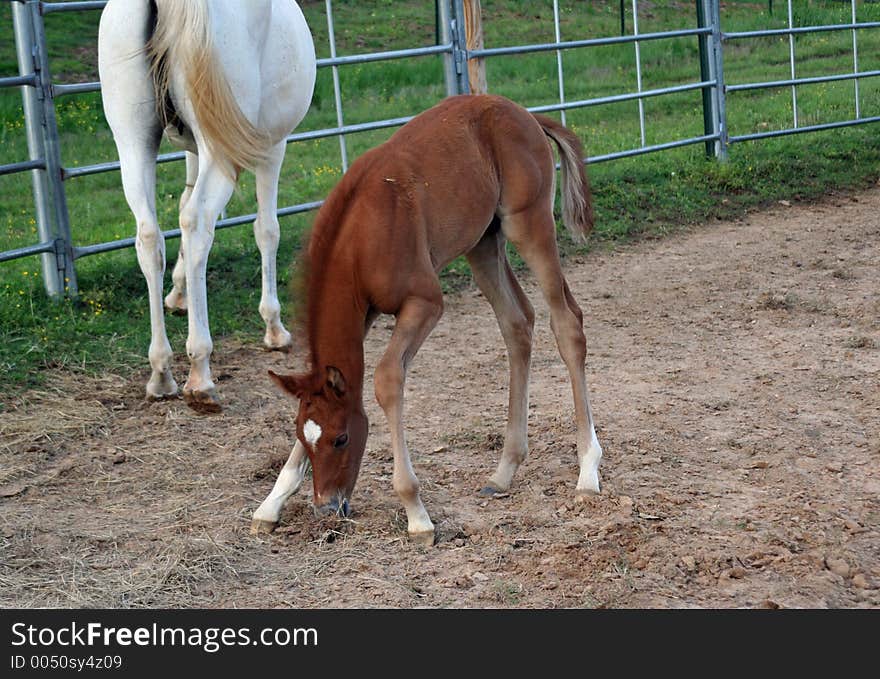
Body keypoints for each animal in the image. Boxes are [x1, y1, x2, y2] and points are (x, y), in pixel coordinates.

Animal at [99, 0, 316, 412]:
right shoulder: (271, 147)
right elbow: (267, 229)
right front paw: (275, 328)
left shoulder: (194, 148)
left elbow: (182, 203)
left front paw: (179, 293)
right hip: (220, 153)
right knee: (198, 223)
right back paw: (199, 372)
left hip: (133, 143)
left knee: (150, 235)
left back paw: (161, 372)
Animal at [251, 94, 600, 548]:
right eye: (301, 436)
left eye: (342, 438)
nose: (327, 507)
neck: (360, 236)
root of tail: (526, 115)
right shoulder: (363, 313)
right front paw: (270, 504)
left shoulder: (425, 302)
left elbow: (386, 378)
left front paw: (416, 513)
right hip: (483, 243)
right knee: (518, 323)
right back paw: (504, 471)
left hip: (529, 224)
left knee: (567, 323)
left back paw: (588, 471)